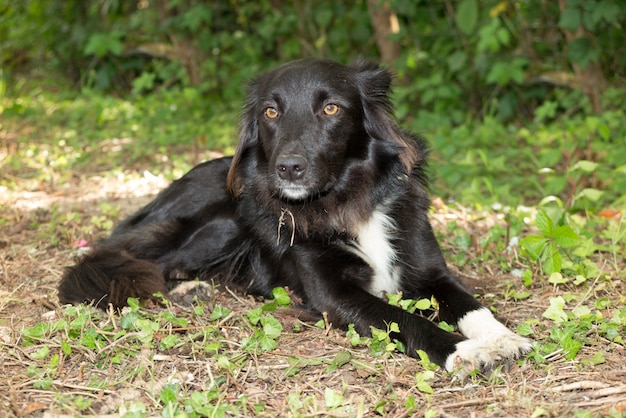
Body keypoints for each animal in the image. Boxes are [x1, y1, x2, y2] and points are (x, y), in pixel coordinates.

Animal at [56, 58, 528, 376]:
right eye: (271, 111)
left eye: (332, 109)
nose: (288, 168)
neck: (345, 199)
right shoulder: (335, 296)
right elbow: (404, 318)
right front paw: (463, 351)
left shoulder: (430, 272)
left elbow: (472, 306)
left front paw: (503, 338)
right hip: (225, 222)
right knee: (144, 263)